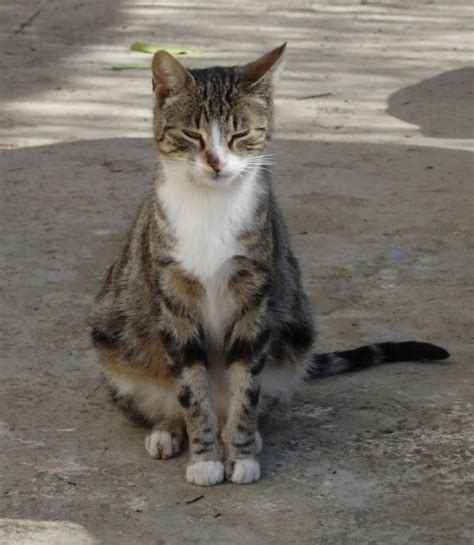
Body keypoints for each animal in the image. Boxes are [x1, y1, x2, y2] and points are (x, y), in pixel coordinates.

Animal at [88, 43, 448, 484]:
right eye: (192, 134)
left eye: (240, 134)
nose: (216, 162)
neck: (211, 207)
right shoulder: (174, 297)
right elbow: (191, 390)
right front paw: (204, 458)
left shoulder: (254, 292)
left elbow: (247, 385)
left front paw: (240, 452)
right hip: (112, 334)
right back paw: (167, 430)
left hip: (297, 329)